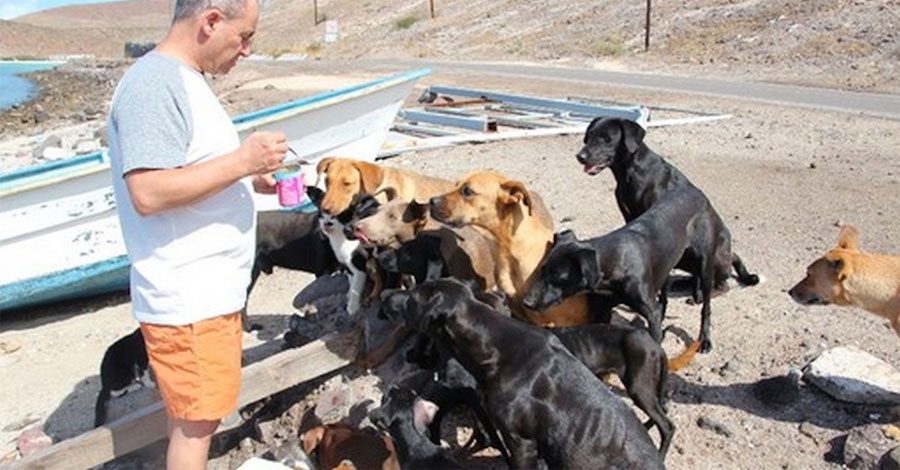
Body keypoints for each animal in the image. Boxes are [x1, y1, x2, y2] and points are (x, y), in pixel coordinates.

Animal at [576, 118, 760, 302]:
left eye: (606, 139)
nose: (580, 157)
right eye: (588, 136)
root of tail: (730, 255)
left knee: (722, 284)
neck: (632, 171)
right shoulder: (630, 217)